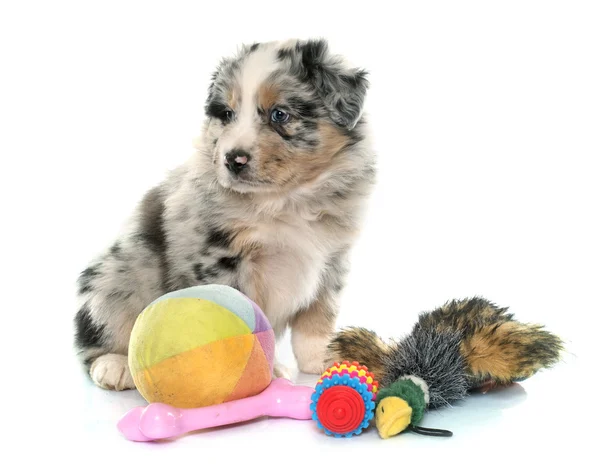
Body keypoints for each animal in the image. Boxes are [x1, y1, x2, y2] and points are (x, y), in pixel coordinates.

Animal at [74, 39, 376, 390]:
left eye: (279, 114)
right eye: (227, 114)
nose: (233, 159)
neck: (287, 200)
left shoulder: (332, 258)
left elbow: (317, 316)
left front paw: (323, 360)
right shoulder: (220, 257)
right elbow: (245, 317)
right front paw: (265, 370)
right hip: (120, 274)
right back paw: (114, 365)